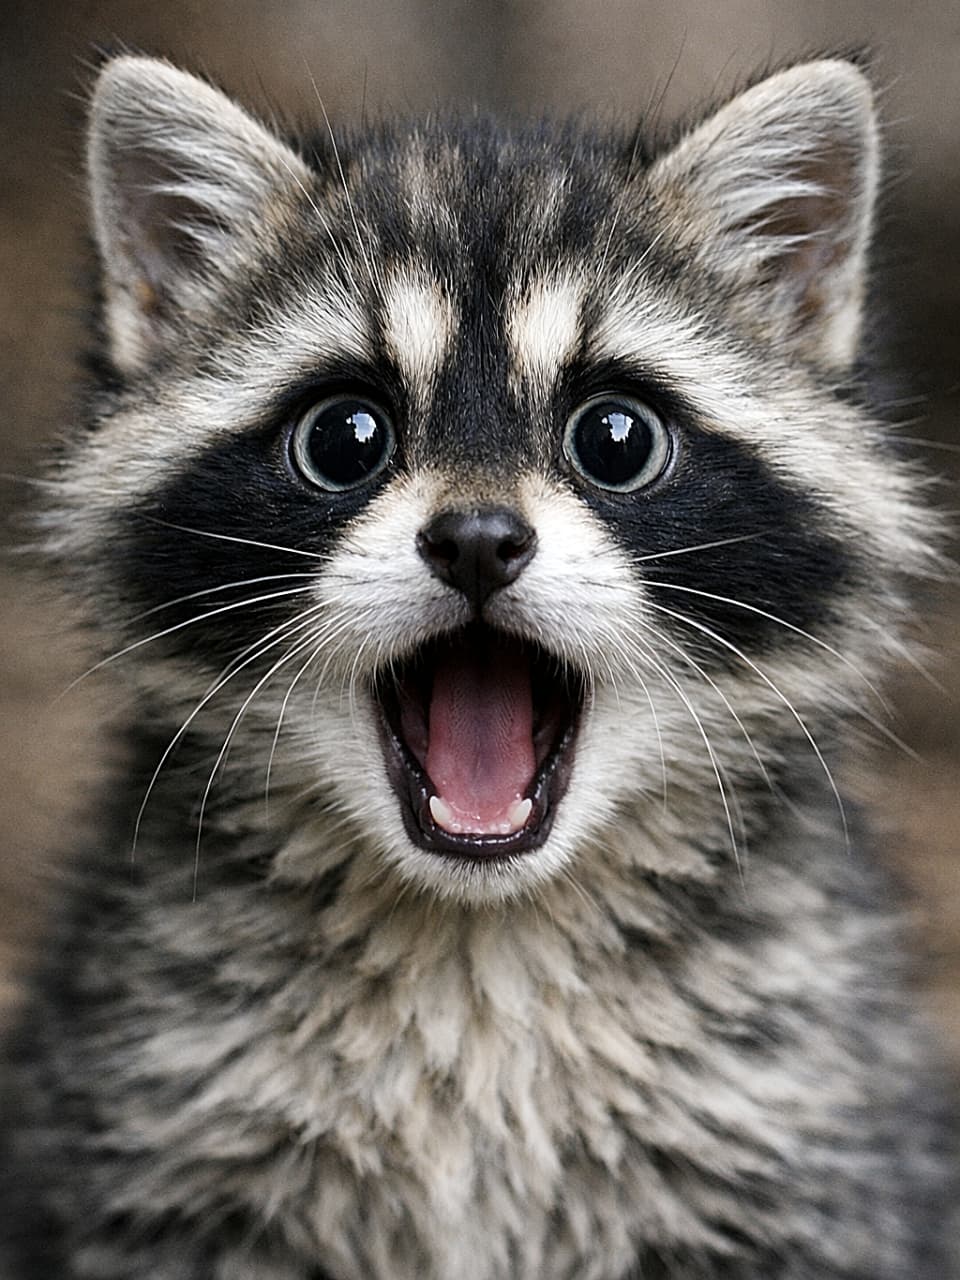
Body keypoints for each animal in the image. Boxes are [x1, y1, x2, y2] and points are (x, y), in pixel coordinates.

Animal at [1, 51, 956, 1279]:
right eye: (344, 438)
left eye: (615, 439)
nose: (476, 541)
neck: (481, 930)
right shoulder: (145, 1101)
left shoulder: (806, 1114)